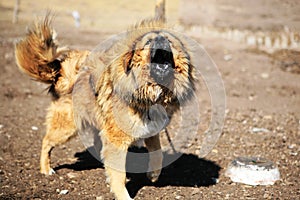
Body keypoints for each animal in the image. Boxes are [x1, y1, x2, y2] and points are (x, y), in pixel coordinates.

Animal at [15, 1, 197, 200]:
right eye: (148, 42)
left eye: (169, 41)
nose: (160, 39)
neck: (151, 93)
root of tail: (65, 76)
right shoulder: (117, 140)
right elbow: (119, 174)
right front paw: (123, 195)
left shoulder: (150, 130)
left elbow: (157, 154)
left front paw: (153, 175)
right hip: (67, 128)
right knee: (46, 142)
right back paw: (46, 169)